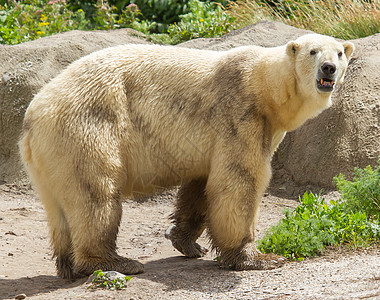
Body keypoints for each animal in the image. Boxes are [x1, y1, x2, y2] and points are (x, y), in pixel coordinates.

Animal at [19, 34, 354, 280]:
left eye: (339, 53)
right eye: (313, 51)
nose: (328, 68)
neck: (264, 87)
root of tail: (33, 117)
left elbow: (201, 185)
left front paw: (187, 241)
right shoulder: (240, 116)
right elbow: (238, 182)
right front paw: (257, 257)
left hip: (50, 158)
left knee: (60, 207)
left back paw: (68, 265)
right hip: (87, 128)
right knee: (96, 193)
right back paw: (115, 262)